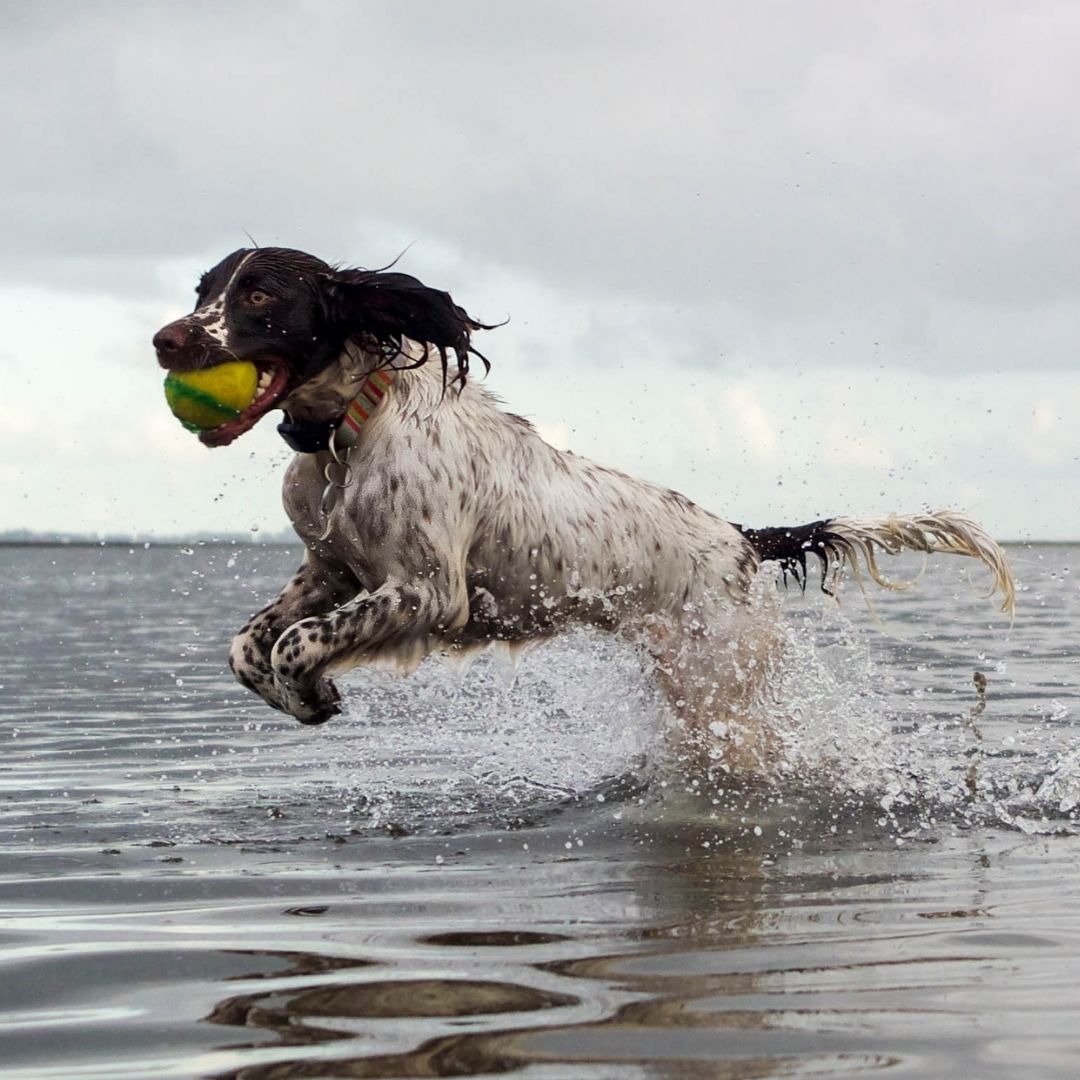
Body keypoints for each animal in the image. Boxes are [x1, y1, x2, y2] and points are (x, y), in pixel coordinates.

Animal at [156, 246, 1015, 768]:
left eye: (260, 293)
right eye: (202, 292)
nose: (165, 340)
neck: (350, 433)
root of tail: (741, 539)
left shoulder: (429, 591)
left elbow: (296, 641)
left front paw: (313, 687)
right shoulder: (332, 568)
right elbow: (250, 645)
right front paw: (301, 699)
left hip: (719, 680)